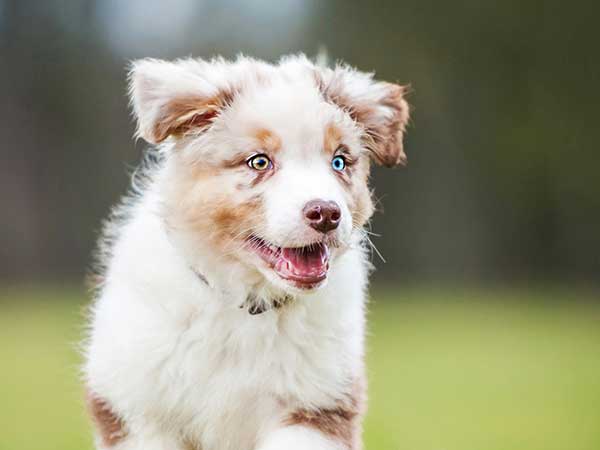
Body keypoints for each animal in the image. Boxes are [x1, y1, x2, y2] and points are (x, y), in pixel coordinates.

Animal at [84, 53, 410, 450]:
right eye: (259, 161)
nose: (327, 213)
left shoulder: (316, 407)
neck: (246, 303)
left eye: (339, 162)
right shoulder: (137, 411)